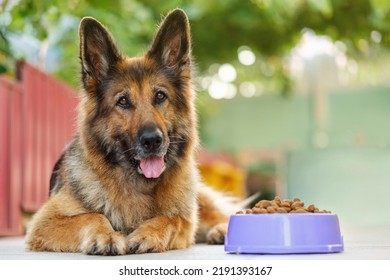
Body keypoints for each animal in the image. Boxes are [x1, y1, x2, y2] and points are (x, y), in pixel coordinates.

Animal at [25, 8, 236, 255]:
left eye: (160, 96)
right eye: (123, 101)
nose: (152, 141)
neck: (139, 184)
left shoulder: (185, 221)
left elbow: (171, 218)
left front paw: (148, 234)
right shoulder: (44, 221)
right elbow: (92, 215)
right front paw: (106, 236)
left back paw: (221, 230)